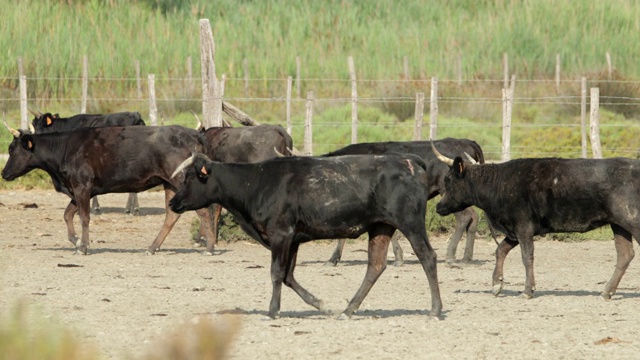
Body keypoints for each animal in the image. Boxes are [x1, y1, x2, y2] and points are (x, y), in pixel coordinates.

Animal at [1, 124, 215, 256]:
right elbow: (67, 214)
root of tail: (193, 133)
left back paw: (210, 247)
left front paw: (83, 246)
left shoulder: (82, 186)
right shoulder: (78, 189)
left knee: (204, 211)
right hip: (169, 183)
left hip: (180, 180)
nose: (4, 173)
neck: (65, 148)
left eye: (12, 150)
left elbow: (84, 217)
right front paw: (75, 240)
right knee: (172, 215)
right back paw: (152, 247)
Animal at [168, 153, 442, 320]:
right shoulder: (294, 239)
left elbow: (277, 273)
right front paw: (320, 303)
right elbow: (288, 276)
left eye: (191, 178)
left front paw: (273, 310)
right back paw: (348, 309)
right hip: (381, 226)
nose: (172, 202)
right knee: (375, 265)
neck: (255, 183)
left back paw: (435, 309)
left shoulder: (281, 234)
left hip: (410, 222)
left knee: (428, 257)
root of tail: (407, 159)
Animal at [430, 142, 640, 300]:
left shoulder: (523, 227)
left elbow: (526, 256)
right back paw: (606, 291)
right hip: (619, 225)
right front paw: (497, 284)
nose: (438, 207)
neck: (499, 183)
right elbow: (500, 251)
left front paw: (527, 290)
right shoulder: (513, 230)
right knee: (625, 255)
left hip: (631, 221)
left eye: (448, 179)